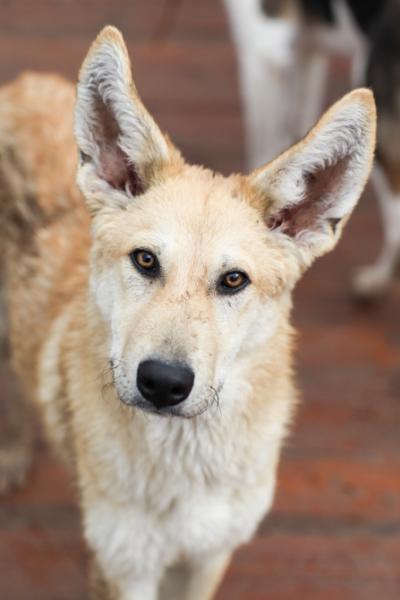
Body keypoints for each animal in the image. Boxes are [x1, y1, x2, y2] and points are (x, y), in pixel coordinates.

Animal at [0, 25, 375, 600]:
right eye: (145, 260)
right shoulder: (125, 567)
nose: (163, 382)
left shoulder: (208, 556)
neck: (185, 463)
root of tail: (25, 84)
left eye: (234, 280)